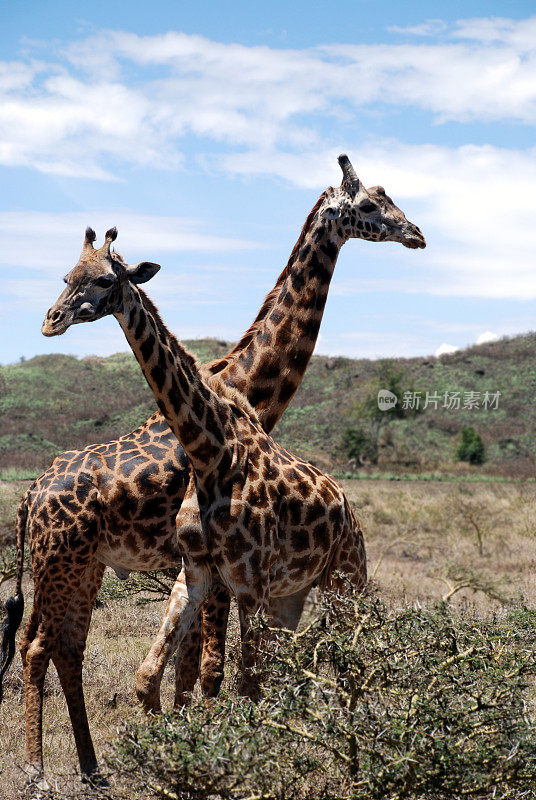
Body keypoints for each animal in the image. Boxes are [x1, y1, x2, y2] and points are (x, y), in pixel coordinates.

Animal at [1, 155, 428, 780]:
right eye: (372, 205)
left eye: (98, 279)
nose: (416, 233)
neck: (246, 386)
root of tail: (31, 493)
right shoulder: (210, 570)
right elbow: (200, 673)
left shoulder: (210, 572)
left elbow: (186, 673)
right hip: (65, 560)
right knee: (41, 648)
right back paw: (43, 767)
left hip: (81, 563)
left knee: (61, 647)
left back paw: (90, 766)